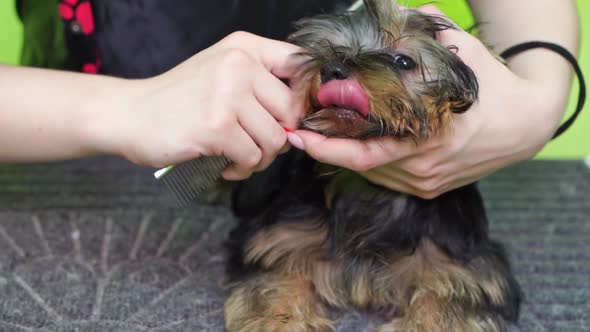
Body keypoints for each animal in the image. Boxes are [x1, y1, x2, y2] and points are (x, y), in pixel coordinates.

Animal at [225, 1, 524, 330]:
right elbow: (276, 282)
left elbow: (445, 303)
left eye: (403, 61)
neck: (365, 188)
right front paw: (280, 319)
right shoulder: (278, 240)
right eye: (326, 49)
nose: (334, 68)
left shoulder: (464, 269)